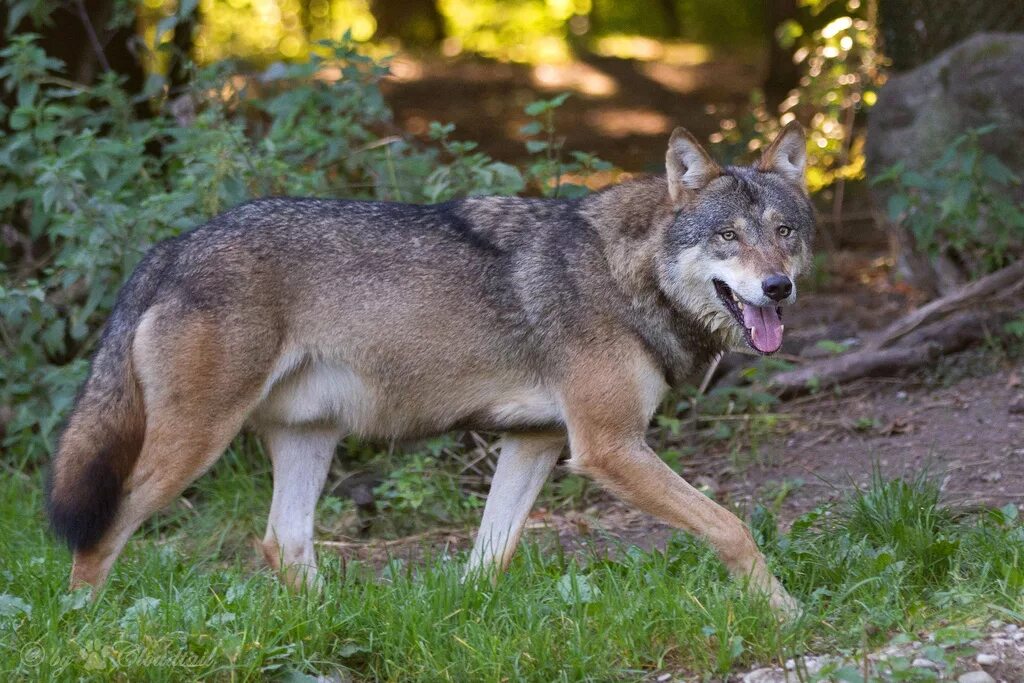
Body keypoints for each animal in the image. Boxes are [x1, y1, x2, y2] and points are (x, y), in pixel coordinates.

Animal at [46, 120, 815, 610]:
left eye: (785, 232)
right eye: (727, 236)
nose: (778, 288)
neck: (626, 275)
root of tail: (170, 248)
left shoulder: (534, 442)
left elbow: (489, 558)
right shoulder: (608, 448)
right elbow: (731, 525)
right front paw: (785, 612)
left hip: (309, 439)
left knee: (281, 543)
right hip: (191, 448)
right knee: (105, 531)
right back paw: (84, 630)